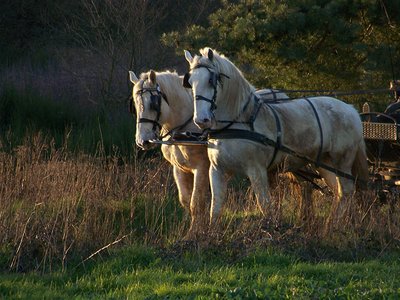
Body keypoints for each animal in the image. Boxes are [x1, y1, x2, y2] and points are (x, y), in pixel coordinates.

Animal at [184, 48, 368, 229]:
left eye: (211, 80)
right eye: (190, 83)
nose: (201, 120)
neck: (237, 122)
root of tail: (351, 110)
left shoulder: (257, 170)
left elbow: (265, 205)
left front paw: (271, 229)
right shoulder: (217, 170)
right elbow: (215, 208)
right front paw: (209, 233)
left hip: (342, 162)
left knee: (347, 190)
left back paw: (334, 225)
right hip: (324, 162)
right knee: (339, 191)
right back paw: (331, 224)